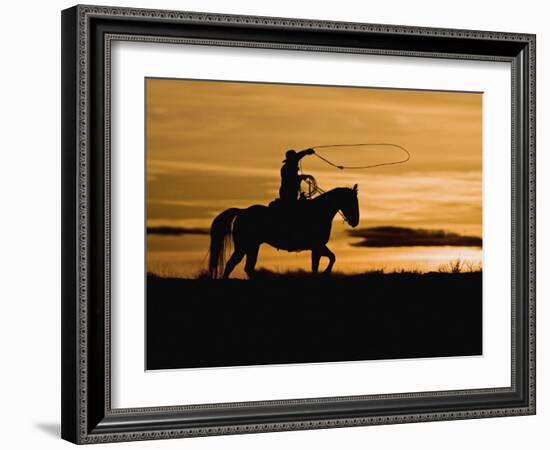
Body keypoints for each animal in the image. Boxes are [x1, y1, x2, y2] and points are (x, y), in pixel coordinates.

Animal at [209, 185, 360, 278]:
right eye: (352, 202)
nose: (355, 221)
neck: (319, 211)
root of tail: (242, 211)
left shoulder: (317, 247)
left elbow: (327, 260)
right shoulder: (317, 246)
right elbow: (325, 261)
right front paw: (325, 273)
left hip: (253, 246)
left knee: (248, 267)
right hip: (243, 246)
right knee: (231, 264)